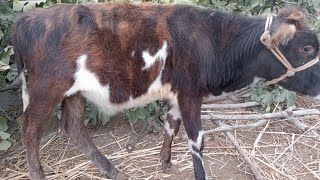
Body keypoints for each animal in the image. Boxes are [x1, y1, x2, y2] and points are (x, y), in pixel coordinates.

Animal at [11, 2, 318, 180]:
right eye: (306, 48)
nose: (317, 87)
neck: (218, 40)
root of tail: (27, 20)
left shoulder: (178, 94)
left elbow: (171, 125)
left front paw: (166, 163)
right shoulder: (191, 92)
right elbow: (197, 140)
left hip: (73, 92)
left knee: (73, 126)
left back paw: (112, 170)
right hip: (47, 88)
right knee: (29, 128)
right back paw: (38, 174)